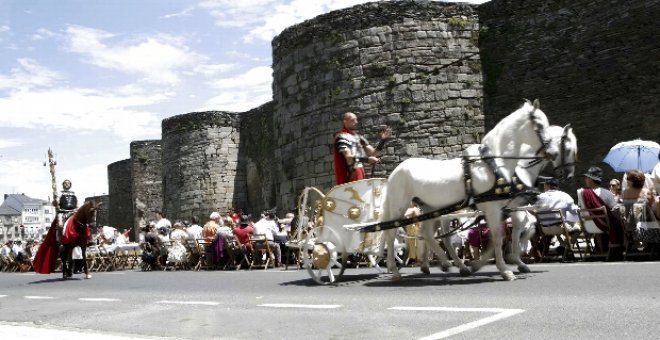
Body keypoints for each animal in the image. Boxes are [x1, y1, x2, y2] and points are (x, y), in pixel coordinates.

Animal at [378, 99, 556, 280]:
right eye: (539, 125)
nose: (553, 152)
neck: (492, 163)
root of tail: (395, 171)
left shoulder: (502, 207)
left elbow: (500, 236)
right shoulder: (493, 207)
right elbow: (498, 237)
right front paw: (505, 270)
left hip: (429, 207)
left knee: (427, 234)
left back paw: (451, 264)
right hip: (399, 205)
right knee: (391, 233)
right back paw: (395, 271)